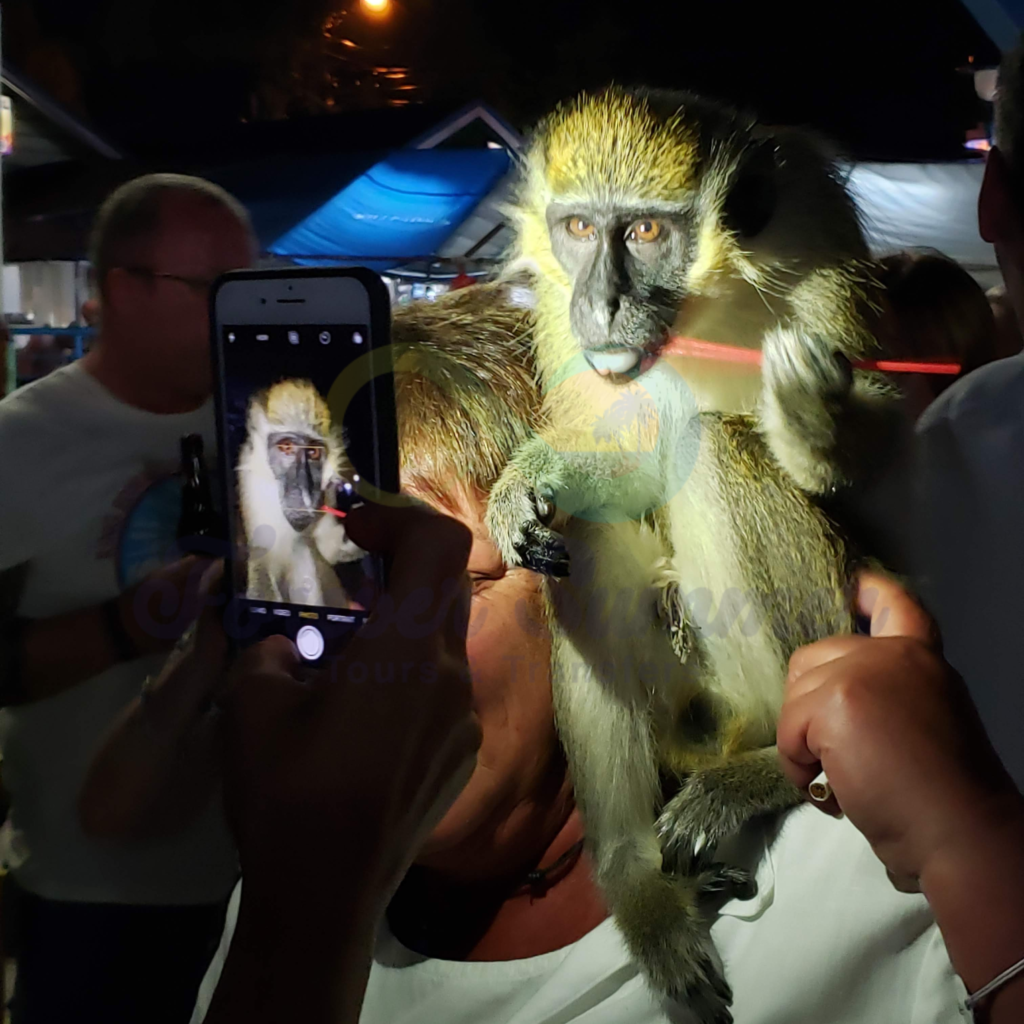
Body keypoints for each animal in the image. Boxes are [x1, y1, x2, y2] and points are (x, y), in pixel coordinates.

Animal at [237, 378, 366, 606]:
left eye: (313, 452)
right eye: (287, 447)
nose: (303, 489)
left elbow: (328, 548)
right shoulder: (252, 482)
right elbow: (262, 556)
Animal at [483, 86, 901, 1015]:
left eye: (644, 231)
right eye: (577, 228)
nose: (601, 304)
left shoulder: (815, 226)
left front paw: (814, 426)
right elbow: (624, 468)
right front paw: (528, 477)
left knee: (716, 446)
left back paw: (774, 767)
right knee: (590, 531)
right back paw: (637, 884)